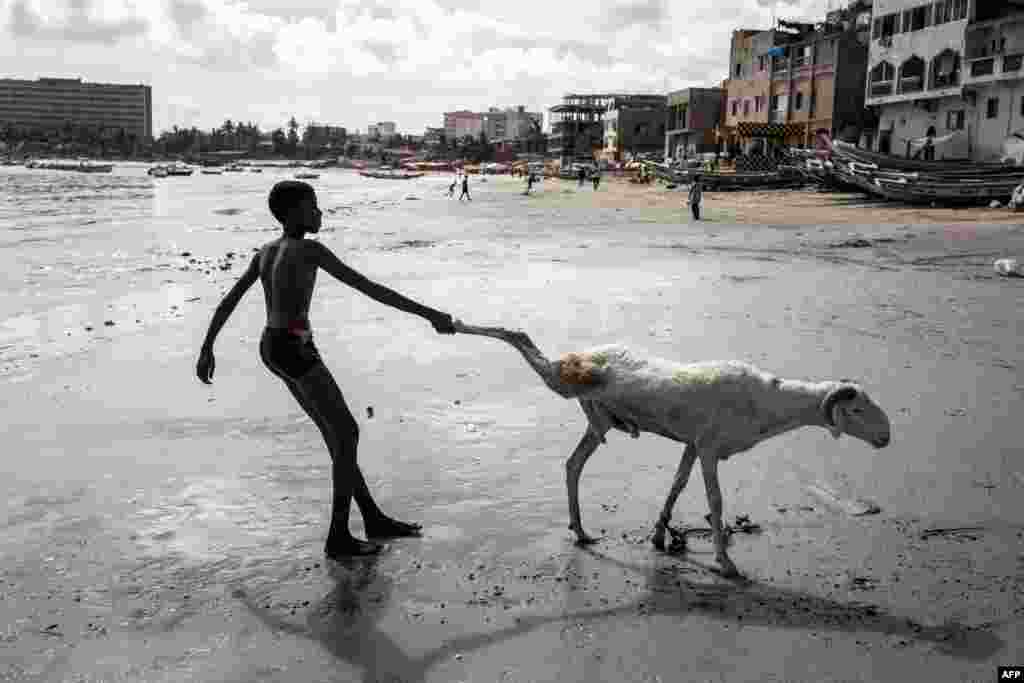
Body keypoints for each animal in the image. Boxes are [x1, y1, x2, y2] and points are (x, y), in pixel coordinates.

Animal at [452, 321, 892, 577]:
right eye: (855, 409)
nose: (886, 438)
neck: (768, 402)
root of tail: (582, 354)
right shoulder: (710, 448)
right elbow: (715, 500)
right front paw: (725, 563)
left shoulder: (693, 444)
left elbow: (677, 484)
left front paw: (660, 536)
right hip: (561, 379)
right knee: (520, 337)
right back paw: (450, 322)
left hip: (598, 421)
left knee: (572, 464)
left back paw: (580, 531)